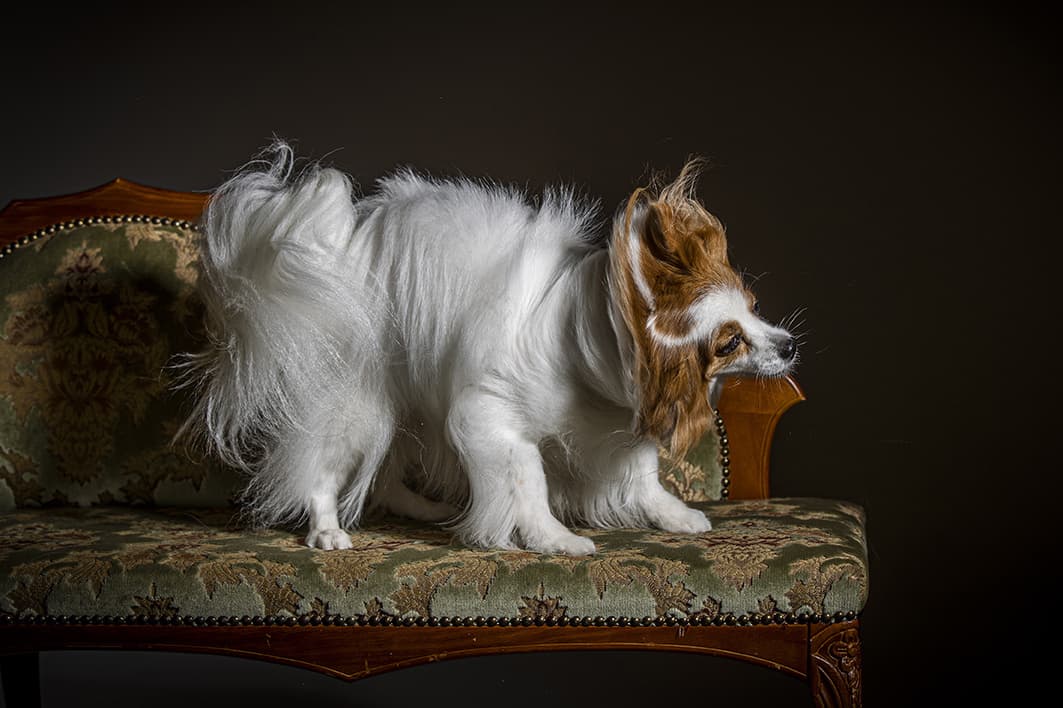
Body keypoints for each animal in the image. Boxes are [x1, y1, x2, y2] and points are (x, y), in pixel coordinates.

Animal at [174, 140, 795, 552]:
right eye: (729, 341)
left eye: (753, 305)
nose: (788, 346)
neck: (585, 346)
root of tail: (341, 243)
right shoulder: (490, 417)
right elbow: (530, 481)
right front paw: (553, 540)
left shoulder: (616, 430)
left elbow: (641, 476)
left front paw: (674, 517)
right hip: (357, 403)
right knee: (324, 470)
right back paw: (326, 529)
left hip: (405, 401)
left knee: (389, 473)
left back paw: (424, 508)